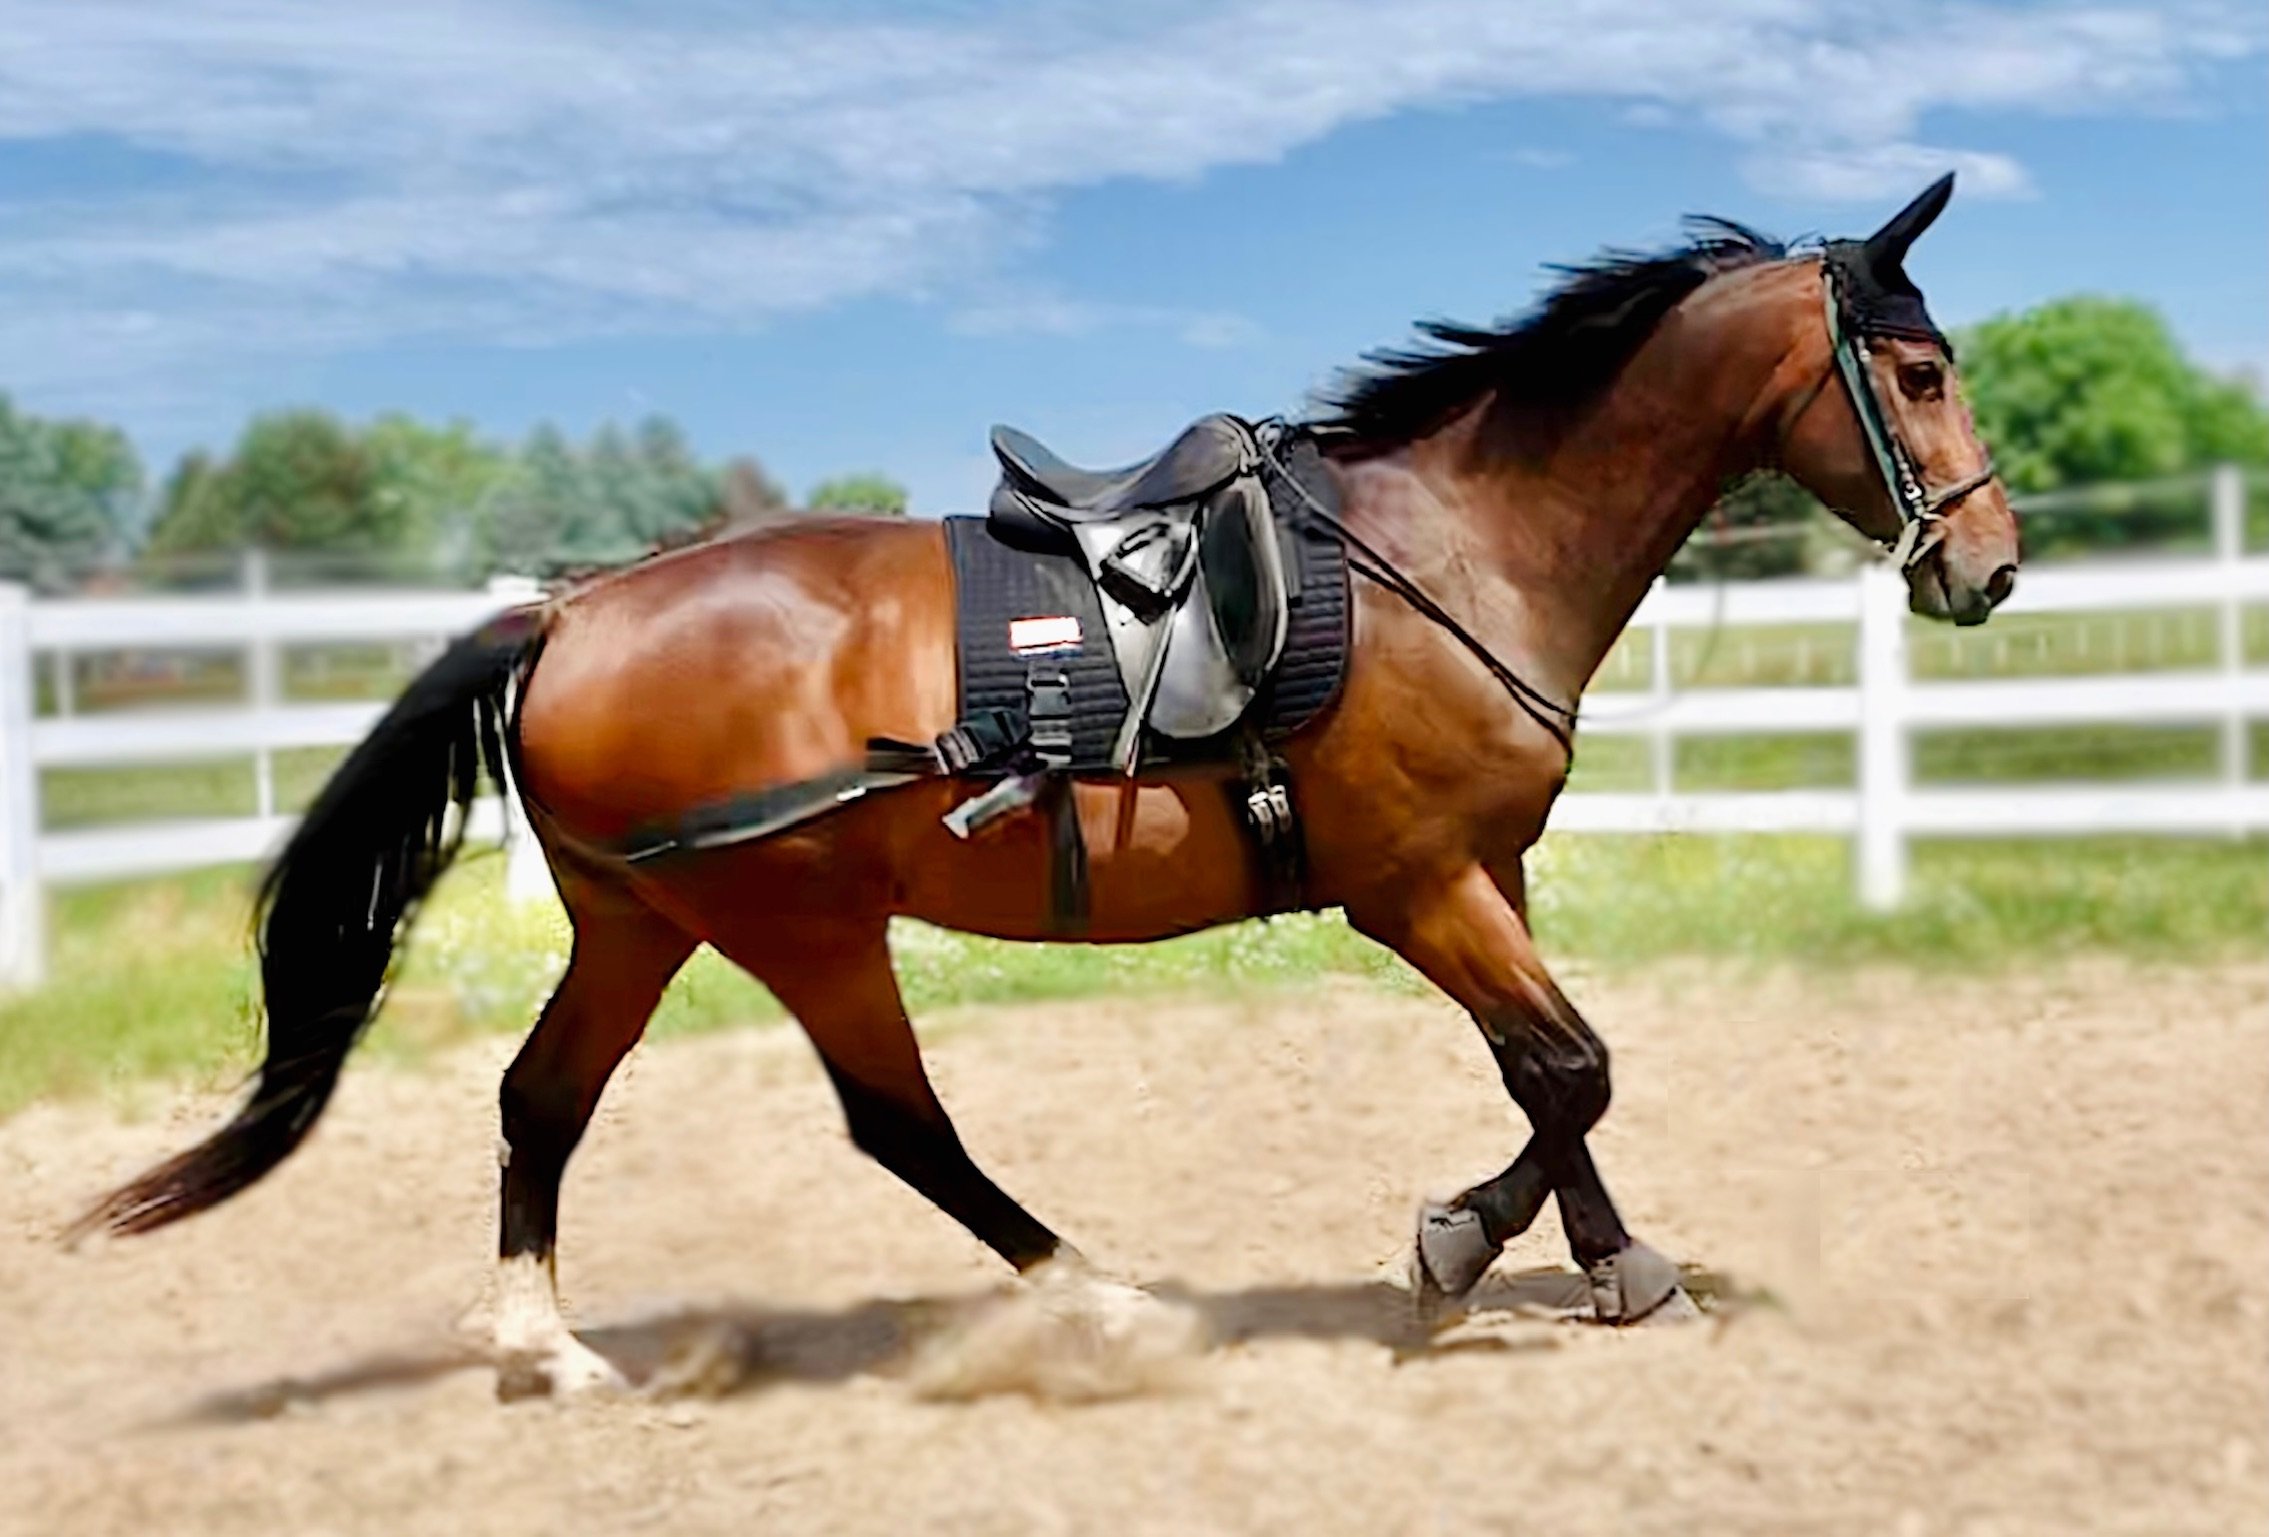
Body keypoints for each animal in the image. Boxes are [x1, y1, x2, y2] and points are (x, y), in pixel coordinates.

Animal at [73, 175, 2018, 1396]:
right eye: (1916, 370)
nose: (1987, 567)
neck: (1441, 550)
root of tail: (567, 610)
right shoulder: (1410, 884)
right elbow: (1569, 1068)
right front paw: (1462, 1242)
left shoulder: (1486, 872)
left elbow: (1550, 1076)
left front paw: (1594, 1259)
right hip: (800, 923)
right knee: (897, 1127)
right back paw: (1106, 1298)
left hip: (642, 921)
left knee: (541, 1100)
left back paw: (546, 1345)